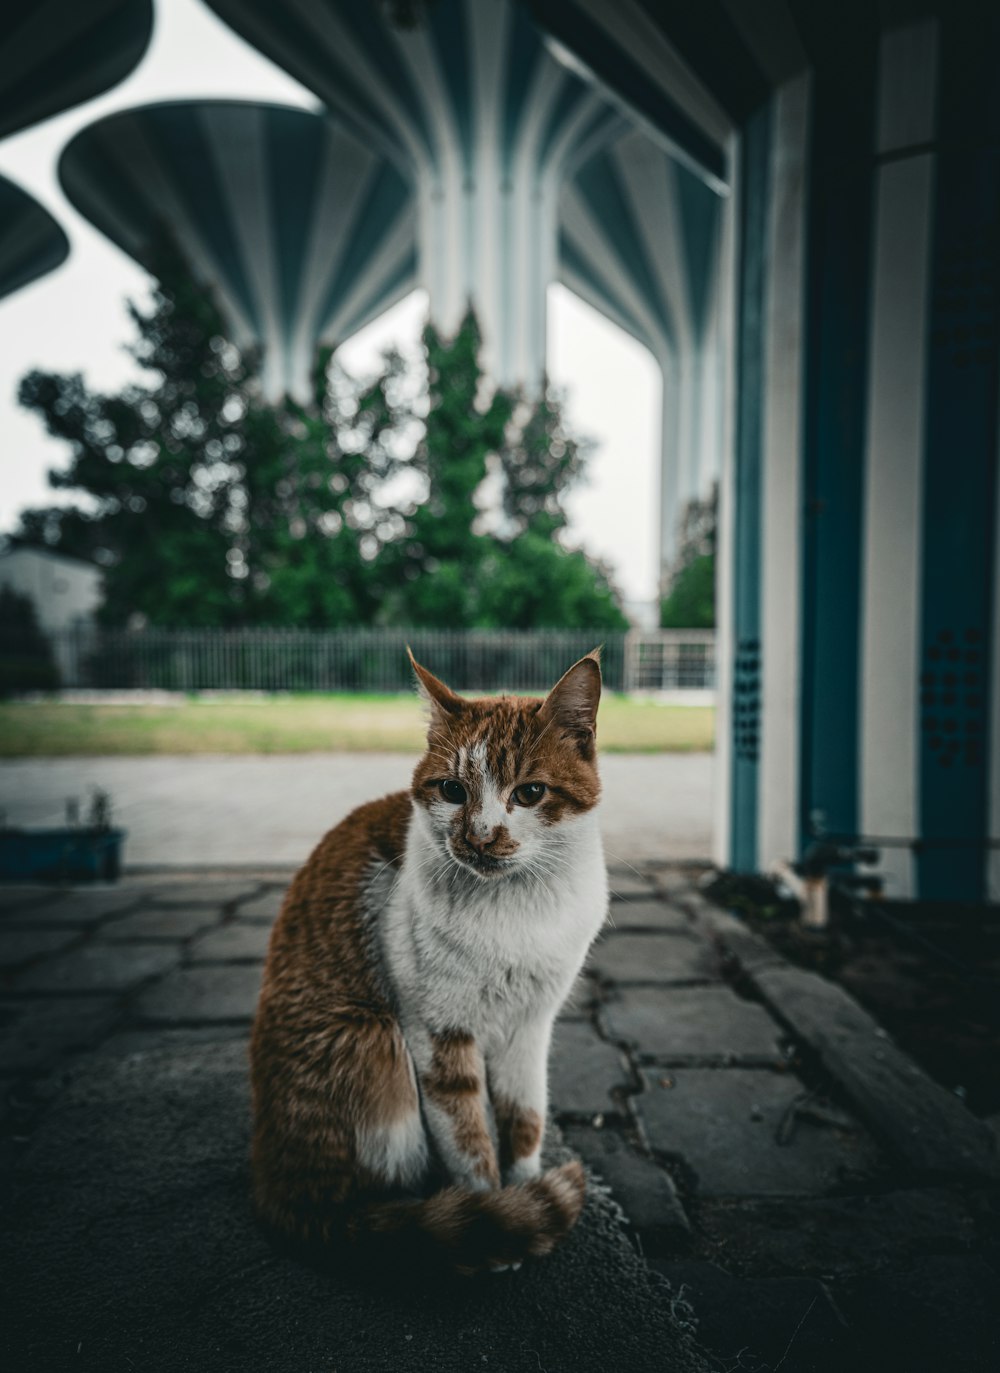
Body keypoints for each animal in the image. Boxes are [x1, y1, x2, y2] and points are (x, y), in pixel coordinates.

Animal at [250, 648, 609, 1268]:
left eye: (530, 793)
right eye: (451, 791)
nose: (481, 837)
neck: (515, 910)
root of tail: (281, 1189)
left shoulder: (530, 1028)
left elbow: (526, 1121)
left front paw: (525, 1190)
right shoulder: (438, 1039)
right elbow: (469, 1142)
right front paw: (496, 1221)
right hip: (372, 1038)